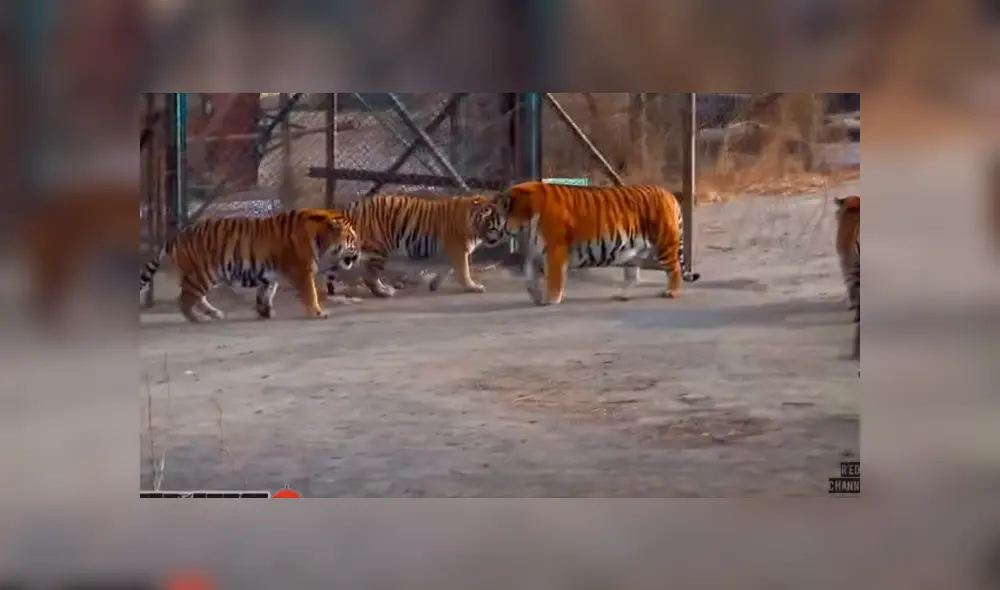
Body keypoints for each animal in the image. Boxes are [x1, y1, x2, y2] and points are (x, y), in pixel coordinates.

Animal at [138, 209, 361, 323]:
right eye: (353, 240)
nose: (358, 255)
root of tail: (177, 236)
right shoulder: (301, 271)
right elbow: (310, 292)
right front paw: (318, 312)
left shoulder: (269, 274)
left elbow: (266, 293)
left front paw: (265, 312)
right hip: (203, 274)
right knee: (184, 299)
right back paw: (198, 318)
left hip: (205, 275)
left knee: (195, 297)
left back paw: (215, 313)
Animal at [324, 194, 509, 299]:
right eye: (489, 225)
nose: (497, 238)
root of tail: (353, 207)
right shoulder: (457, 249)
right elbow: (463, 270)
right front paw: (473, 287)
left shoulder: (450, 251)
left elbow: (446, 269)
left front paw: (434, 284)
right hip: (379, 249)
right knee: (369, 276)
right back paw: (385, 292)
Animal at [492, 181, 701, 306]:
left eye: (489, 214)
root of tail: (669, 195)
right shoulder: (535, 251)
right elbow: (529, 276)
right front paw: (536, 296)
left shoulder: (554, 250)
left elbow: (554, 278)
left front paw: (551, 299)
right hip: (633, 253)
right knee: (634, 276)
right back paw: (621, 295)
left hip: (663, 244)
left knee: (674, 268)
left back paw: (671, 292)